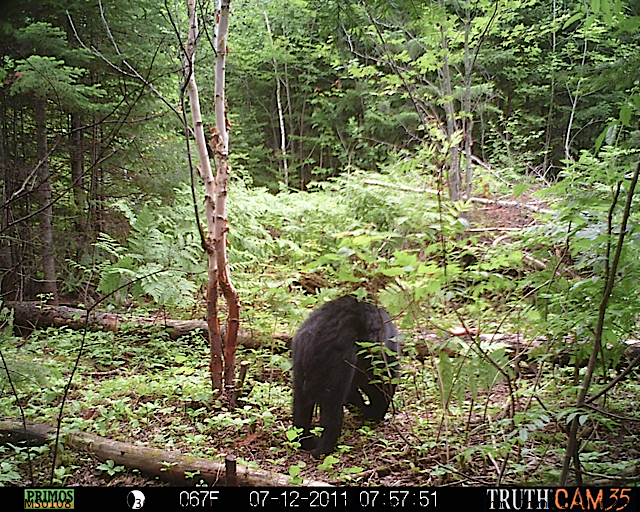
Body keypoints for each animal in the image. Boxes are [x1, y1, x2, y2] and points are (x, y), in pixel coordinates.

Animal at [292, 294, 400, 458]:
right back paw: (324, 449)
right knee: (333, 410)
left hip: (301, 368)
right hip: (338, 366)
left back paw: (306, 441)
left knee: (301, 406)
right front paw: (373, 414)